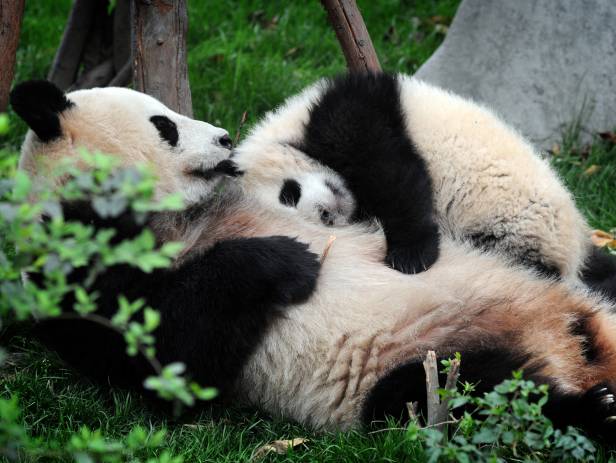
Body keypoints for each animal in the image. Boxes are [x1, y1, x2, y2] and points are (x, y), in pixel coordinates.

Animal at [10, 80, 616, 438]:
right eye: (165, 125)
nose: (222, 137)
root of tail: (572, 344)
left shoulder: (340, 121)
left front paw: (409, 249)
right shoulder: (76, 273)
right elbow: (166, 359)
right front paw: (285, 260)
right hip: (429, 362)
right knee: (471, 395)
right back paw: (595, 408)